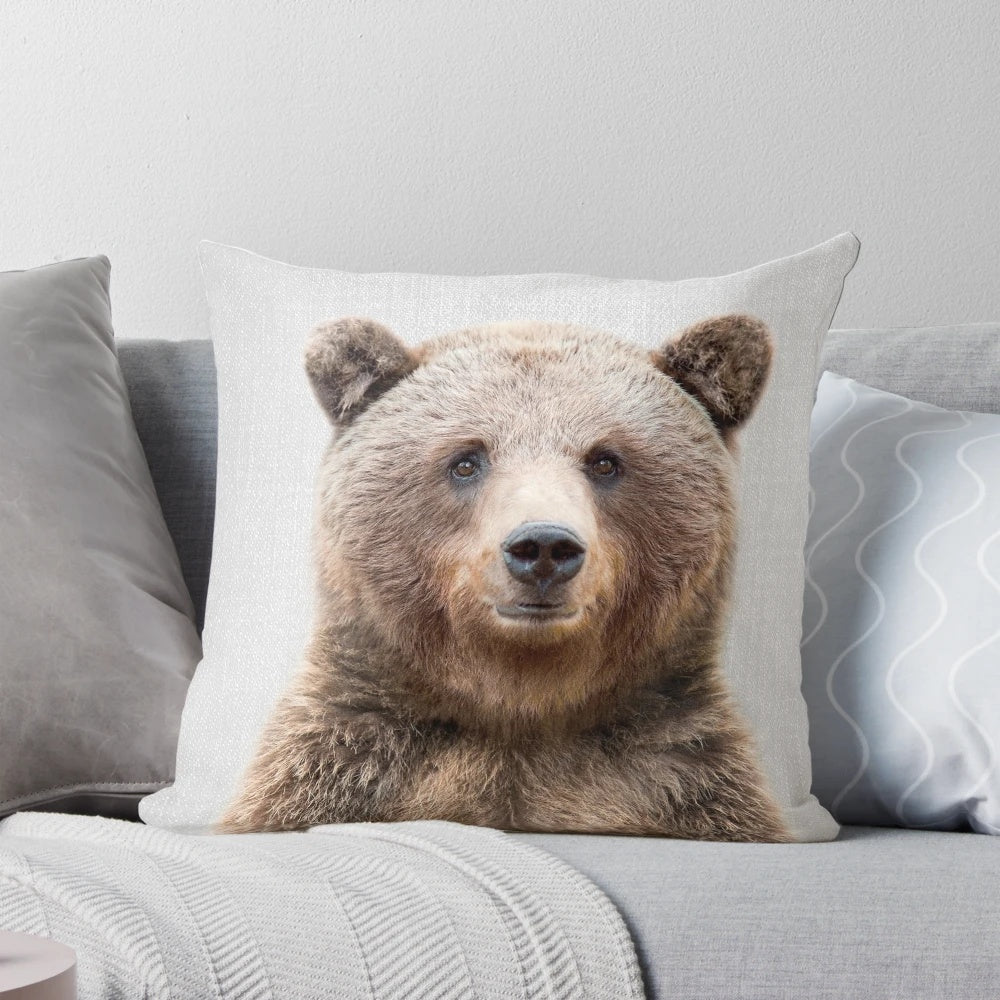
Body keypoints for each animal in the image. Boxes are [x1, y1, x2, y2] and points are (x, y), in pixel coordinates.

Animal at [218, 314, 790, 842]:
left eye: (605, 460)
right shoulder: (339, 766)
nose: (543, 547)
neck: (519, 701)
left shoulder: (688, 780)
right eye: (466, 460)